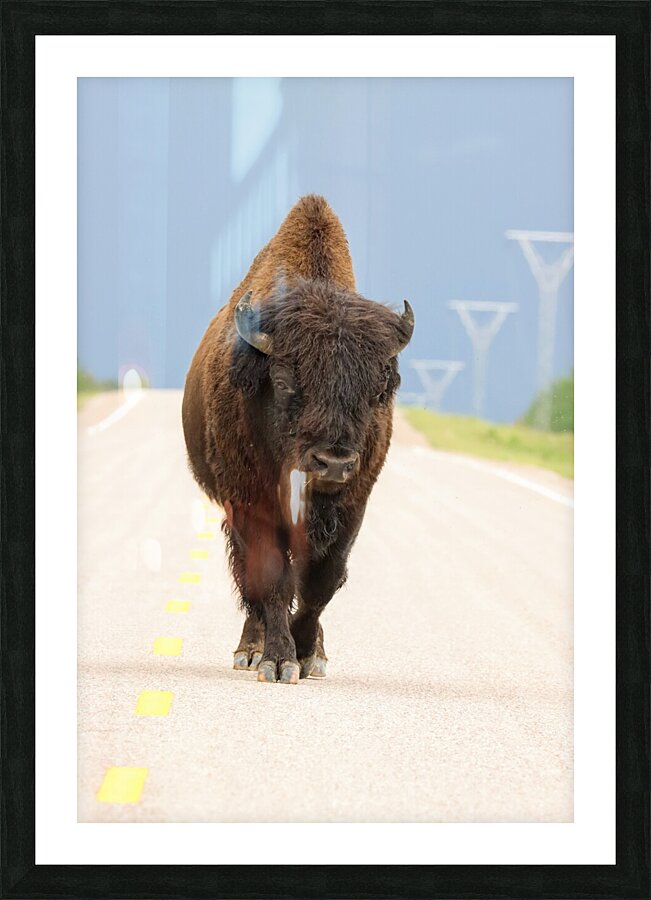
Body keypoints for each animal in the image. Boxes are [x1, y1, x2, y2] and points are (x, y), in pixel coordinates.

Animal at [182, 195, 414, 683]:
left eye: (376, 389)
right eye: (287, 381)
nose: (333, 462)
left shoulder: (352, 504)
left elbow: (321, 581)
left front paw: (308, 654)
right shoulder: (250, 500)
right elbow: (272, 576)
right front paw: (278, 660)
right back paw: (250, 652)